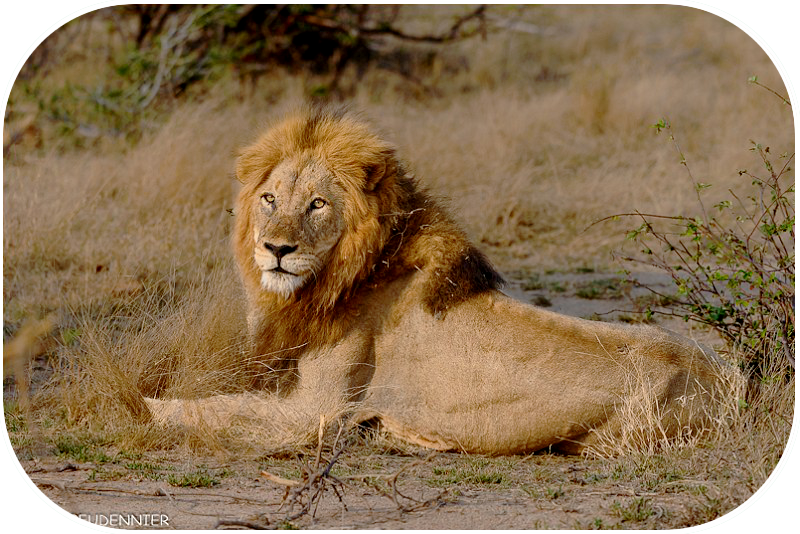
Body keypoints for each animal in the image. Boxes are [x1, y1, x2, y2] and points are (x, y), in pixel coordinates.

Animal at [146, 105, 726, 455]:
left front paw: (134, 407)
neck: (338, 277)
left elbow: (210, 409)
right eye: (269, 199)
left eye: (317, 204)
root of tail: (733, 380)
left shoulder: (312, 415)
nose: (276, 250)